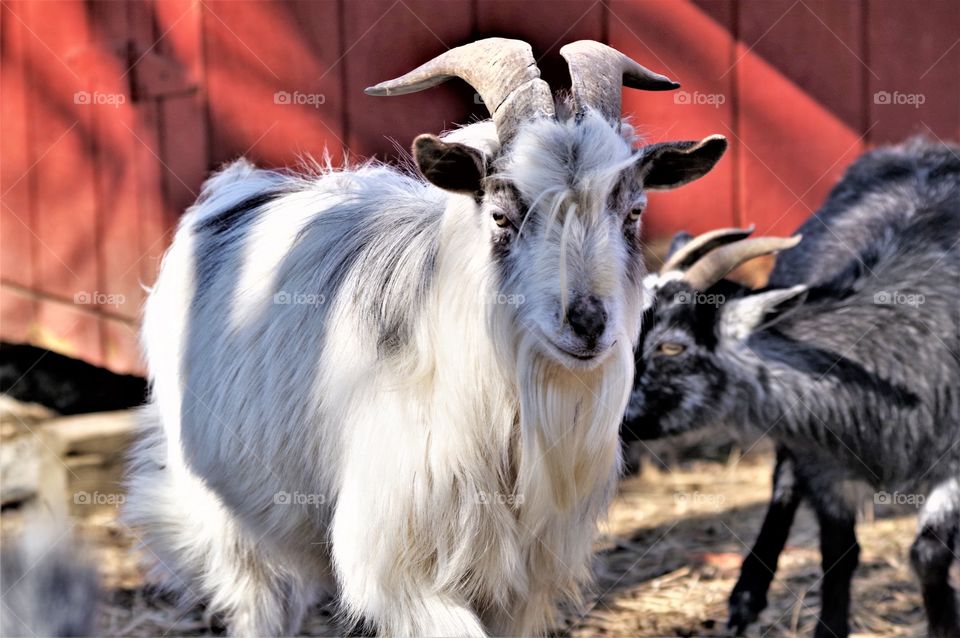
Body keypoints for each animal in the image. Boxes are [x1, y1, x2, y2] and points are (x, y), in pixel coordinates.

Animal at [124, 38, 728, 637]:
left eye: (633, 212)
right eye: (502, 217)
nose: (587, 322)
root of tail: (237, 188)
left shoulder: (522, 583)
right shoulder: (401, 570)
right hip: (227, 518)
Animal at [623, 138, 960, 638]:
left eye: (671, 346)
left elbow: (929, 554)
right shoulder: (823, 459)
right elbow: (838, 554)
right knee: (782, 483)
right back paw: (746, 596)